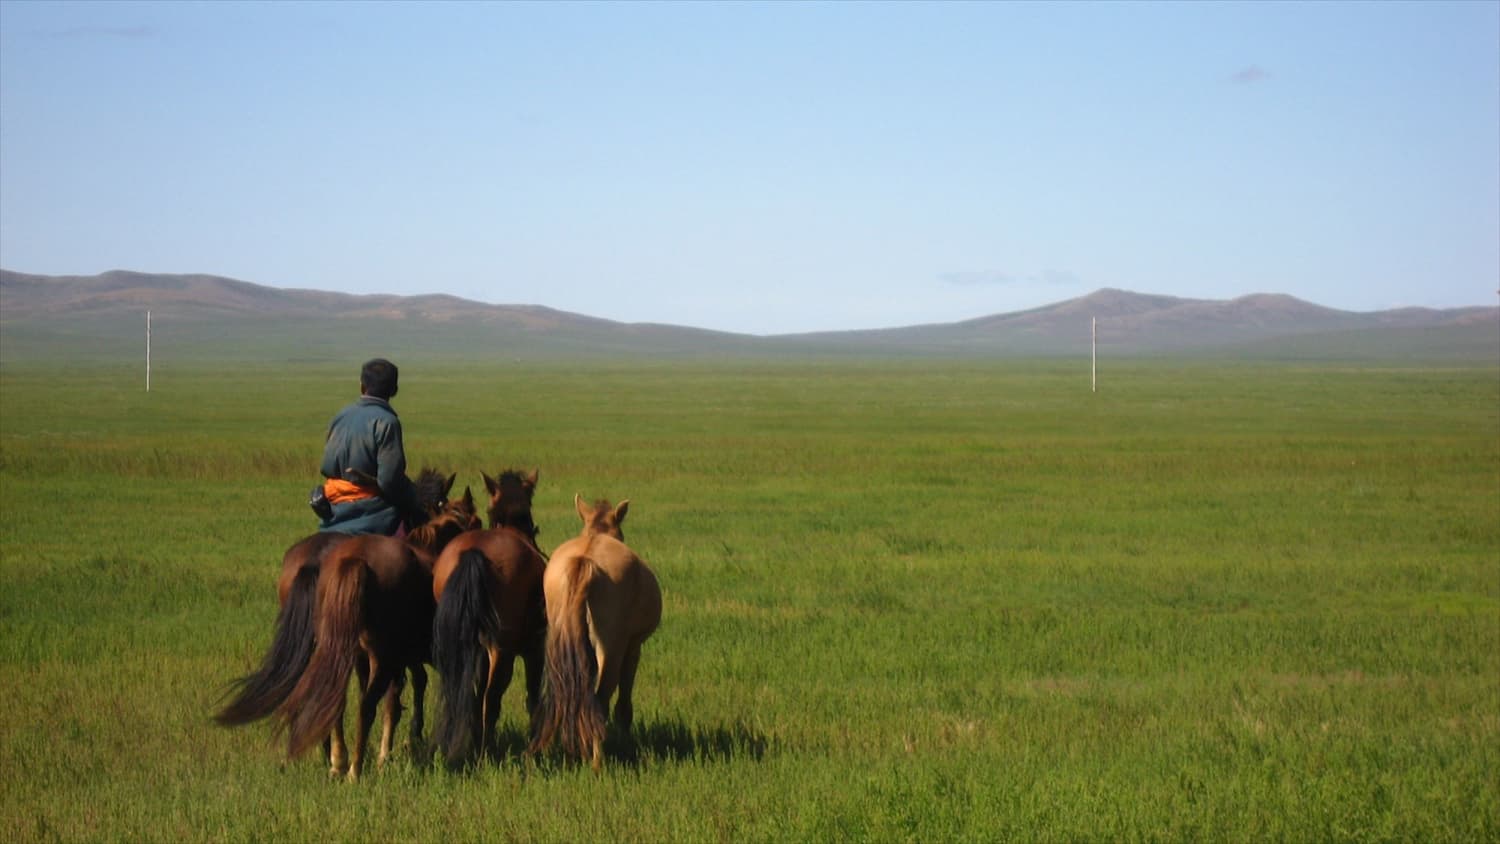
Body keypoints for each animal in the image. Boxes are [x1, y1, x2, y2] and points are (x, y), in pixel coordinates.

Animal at [214, 467, 474, 779]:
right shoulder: (395, 659)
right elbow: (401, 694)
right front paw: (397, 747)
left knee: (327, 694)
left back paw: (333, 757)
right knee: (360, 702)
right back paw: (349, 763)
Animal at [426, 467, 549, 767]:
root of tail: (473, 553)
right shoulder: (534, 648)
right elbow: (532, 695)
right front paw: (534, 745)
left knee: (468, 695)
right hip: (502, 650)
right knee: (492, 699)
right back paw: (486, 751)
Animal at [534, 494, 663, 773]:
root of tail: (585, 560)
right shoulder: (633, 647)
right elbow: (623, 704)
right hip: (611, 649)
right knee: (600, 699)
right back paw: (596, 762)